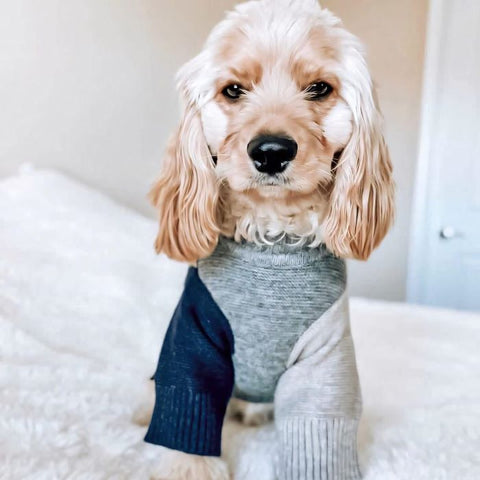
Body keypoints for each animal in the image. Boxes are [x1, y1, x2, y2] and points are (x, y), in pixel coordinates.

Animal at [145, 0, 394, 480]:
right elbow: (187, 402)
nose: (272, 151)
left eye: (319, 88)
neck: (273, 237)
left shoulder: (325, 358)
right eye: (233, 90)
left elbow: (319, 427)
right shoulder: (194, 337)